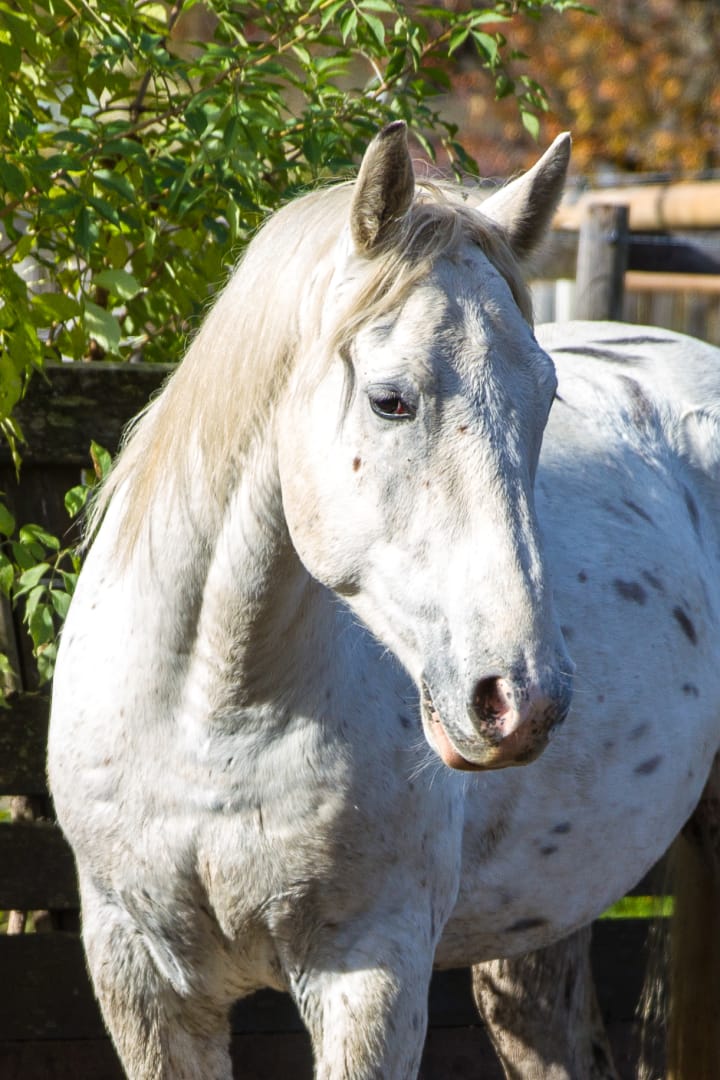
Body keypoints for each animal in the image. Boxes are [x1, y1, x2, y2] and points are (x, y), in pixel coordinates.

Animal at [48, 122, 720, 1079]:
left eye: (546, 394)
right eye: (389, 400)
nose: (520, 699)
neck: (209, 712)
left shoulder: (370, 974)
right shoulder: (139, 977)